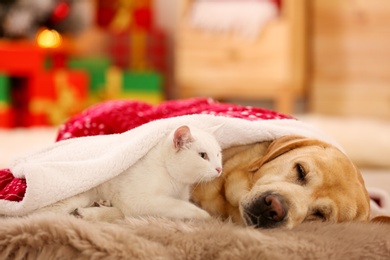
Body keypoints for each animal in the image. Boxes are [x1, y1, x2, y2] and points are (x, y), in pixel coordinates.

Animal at [35, 125, 222, 221]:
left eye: (218, 154)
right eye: (203, 155)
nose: (219, 169)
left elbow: (122, 211)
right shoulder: (139, 199)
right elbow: (181, 207)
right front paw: (206, 216)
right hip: (78, 194)